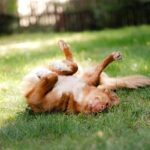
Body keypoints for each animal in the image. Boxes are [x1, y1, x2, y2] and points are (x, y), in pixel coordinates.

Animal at [22, 40, 150, 113]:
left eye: (107, 106)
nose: (101, 108)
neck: (75, 93)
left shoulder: (36, 99)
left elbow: (54, 76)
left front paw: (45, 74)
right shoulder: (89, 79)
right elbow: (66, 70)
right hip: (88, 75)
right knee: (73, 63)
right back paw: (63, 48)